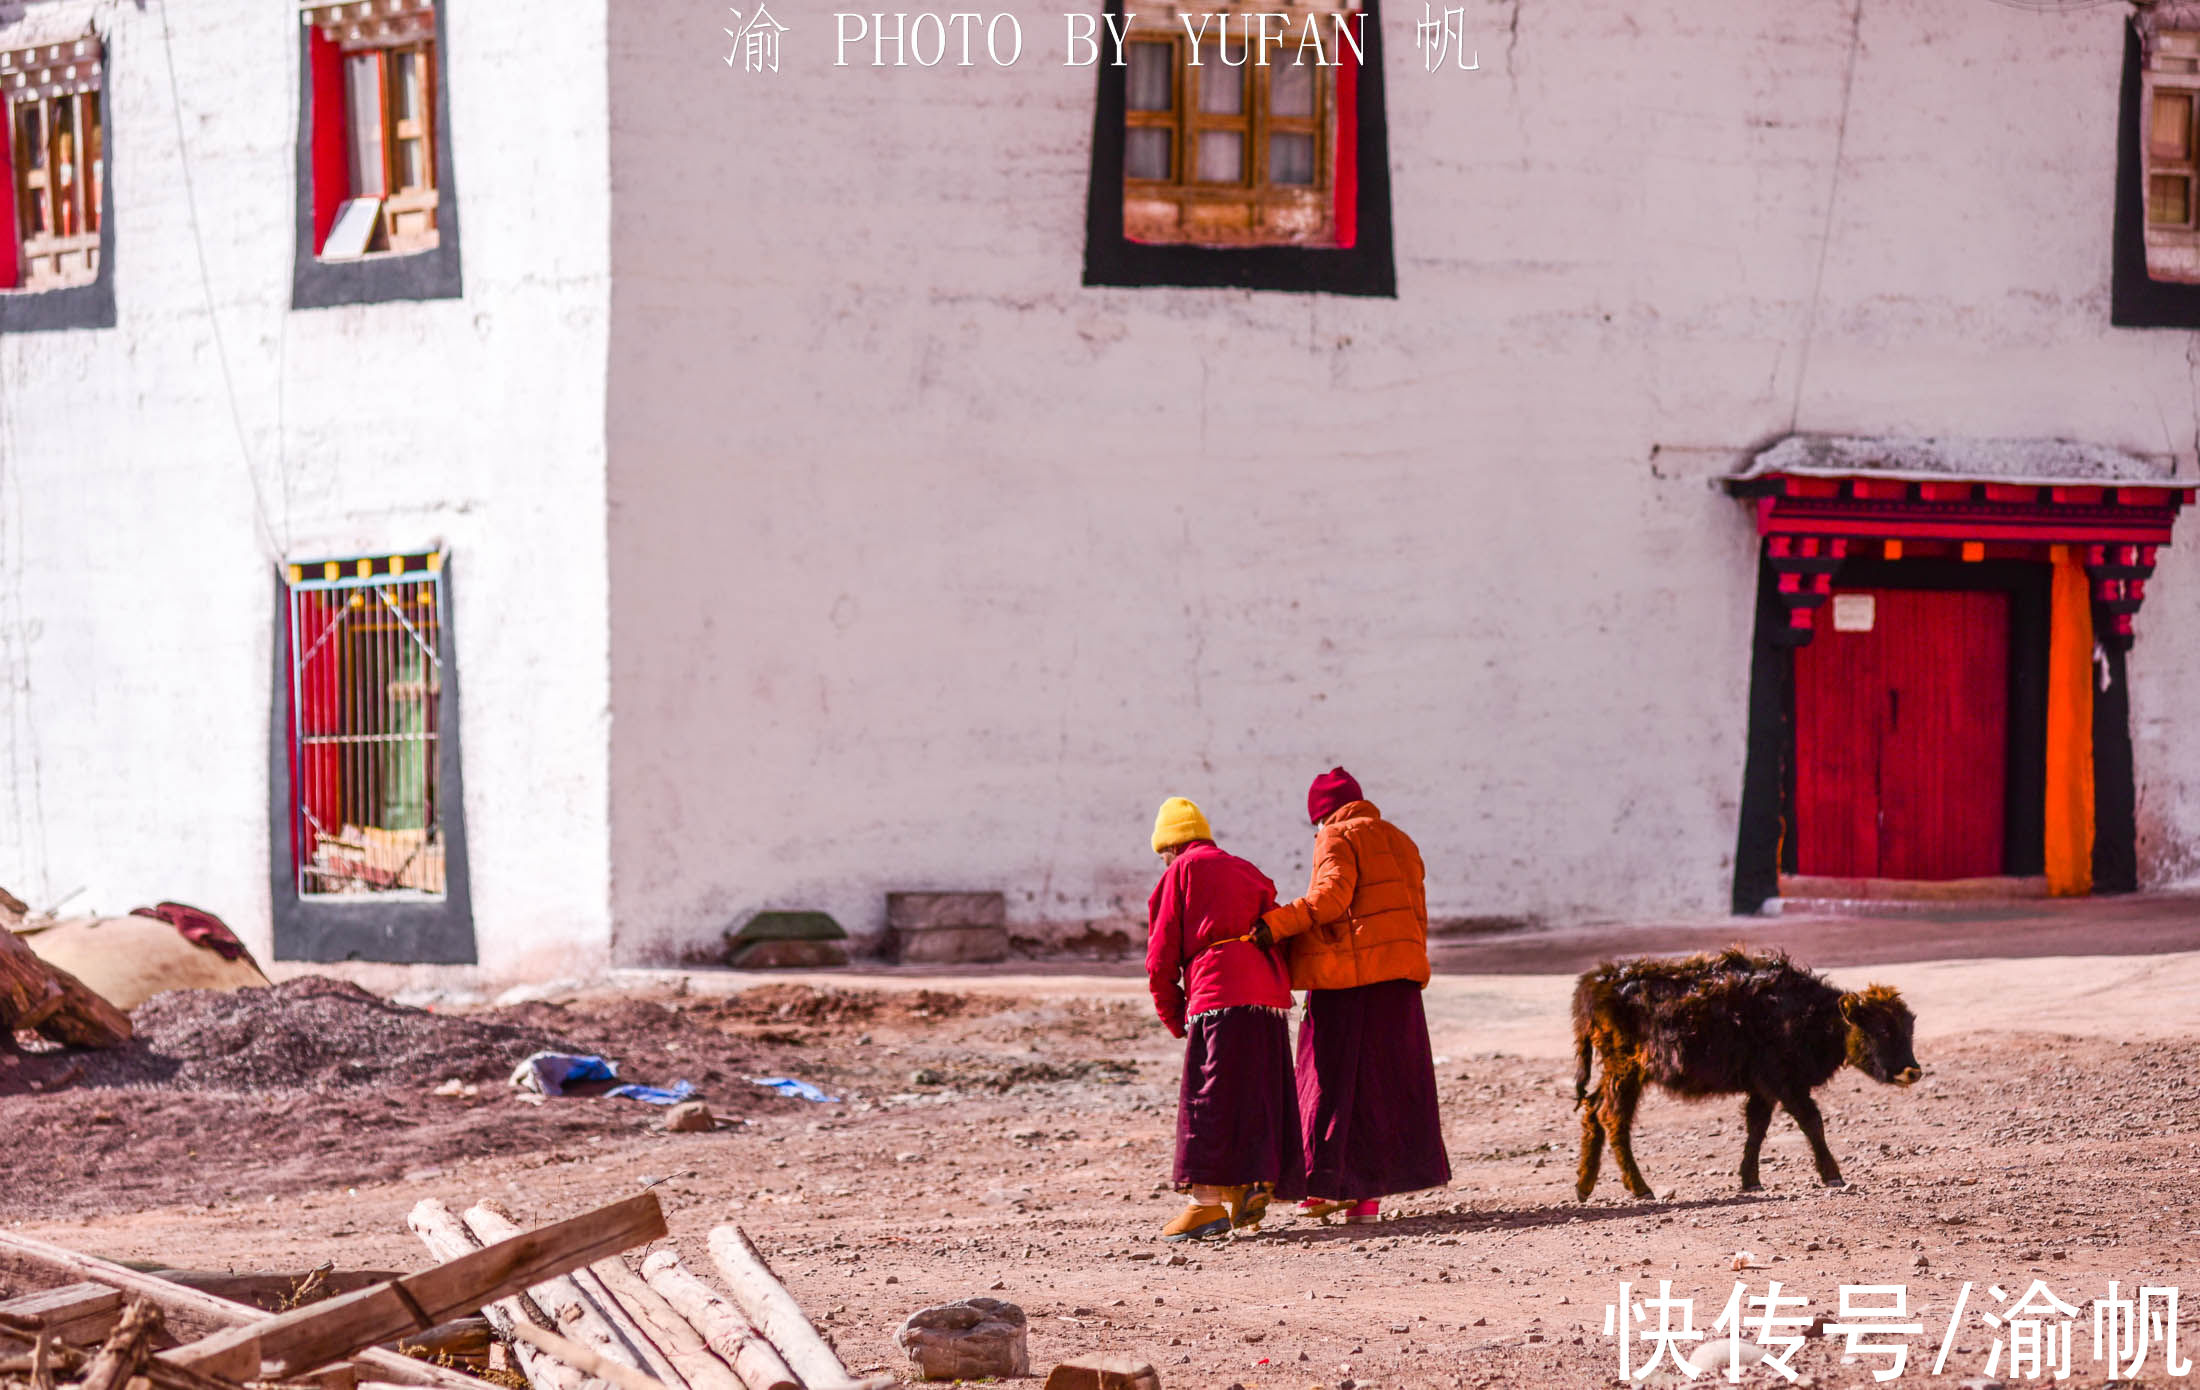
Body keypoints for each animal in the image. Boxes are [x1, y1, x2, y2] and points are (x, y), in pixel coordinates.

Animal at [1575, 950, 1918, 1196]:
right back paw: (1640, 1188)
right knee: (1612, 1117)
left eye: (1909, 1028)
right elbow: (1812, 1122)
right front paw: (1833, 1175)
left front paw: (1750, 1180)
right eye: (1882, 1030)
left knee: (1592, 1109)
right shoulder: (1785, 1083)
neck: (1810, 1015)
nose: (1912, 1071)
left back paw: (1584, 1186)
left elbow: (1757, 1128)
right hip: (1626, 1071)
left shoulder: (1763, 1088)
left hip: (1617, 1073)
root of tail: (1599, 979)